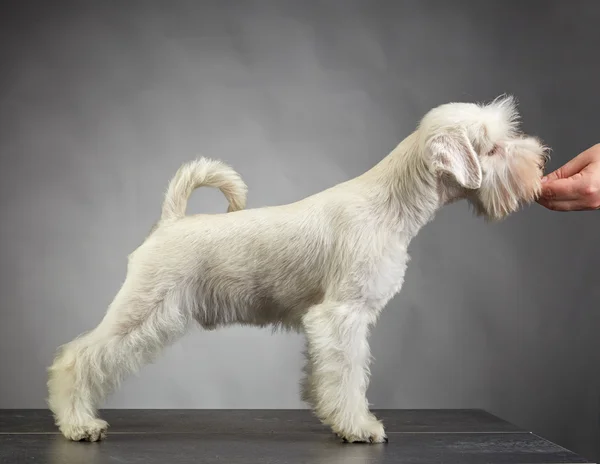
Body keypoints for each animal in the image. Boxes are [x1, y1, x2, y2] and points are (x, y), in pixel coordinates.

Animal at [47, 94, 548, 442]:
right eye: (494, 148)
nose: (539, 159)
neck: (390, 205)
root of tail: (170, 221)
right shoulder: (342, 316)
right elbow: (348, 376)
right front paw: (359, 427)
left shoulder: (334, 323)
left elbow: (330, 376)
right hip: (141, 309)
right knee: (79, 357)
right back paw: (78, 424)